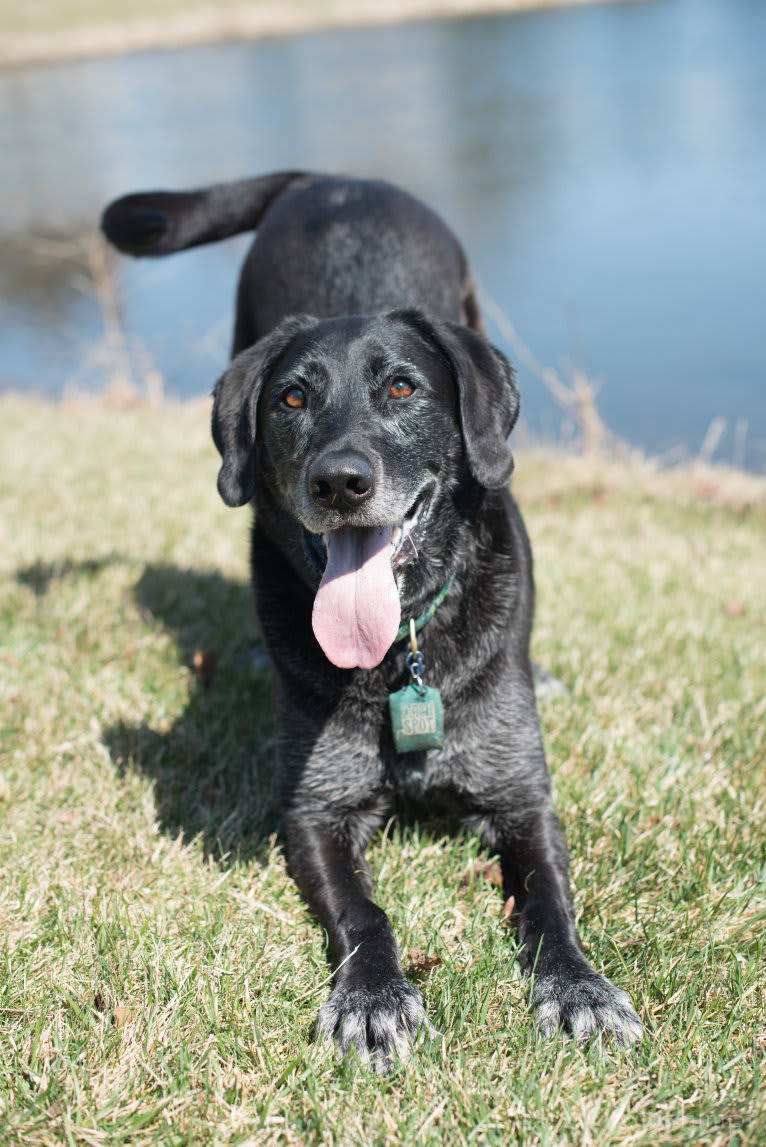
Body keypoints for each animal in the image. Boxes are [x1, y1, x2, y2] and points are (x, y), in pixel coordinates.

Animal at [101, 169, 642, 1064]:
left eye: (401, 387)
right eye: (291, 397)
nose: (340, 481)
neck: (401, 656)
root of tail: (330, 177)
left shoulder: (522, 796)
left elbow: (549, 902)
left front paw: (578, 986)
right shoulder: (313, 813)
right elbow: (364, 910)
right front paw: (374, 996)